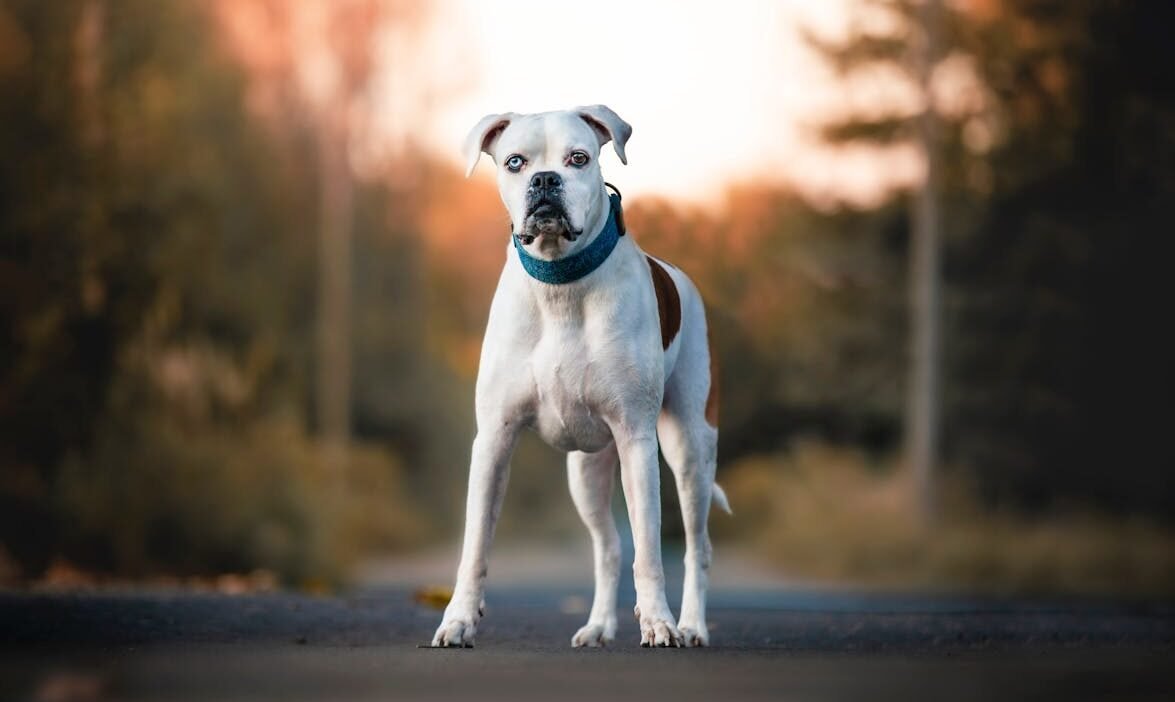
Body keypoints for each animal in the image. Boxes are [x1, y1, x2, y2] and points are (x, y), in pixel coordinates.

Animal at [432, 104, 723, 644]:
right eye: (515, 161)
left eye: (579, 158)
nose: (546, 179)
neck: (560, 284)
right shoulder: (494, 439)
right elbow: (475, 545)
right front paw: (458, 620)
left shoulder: (636, 439)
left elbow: (650, 552)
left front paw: (658, 623)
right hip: (586, 474)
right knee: (608, 547)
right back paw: (599, 626)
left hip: (689, 450)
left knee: (697, 547)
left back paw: (691, 625)